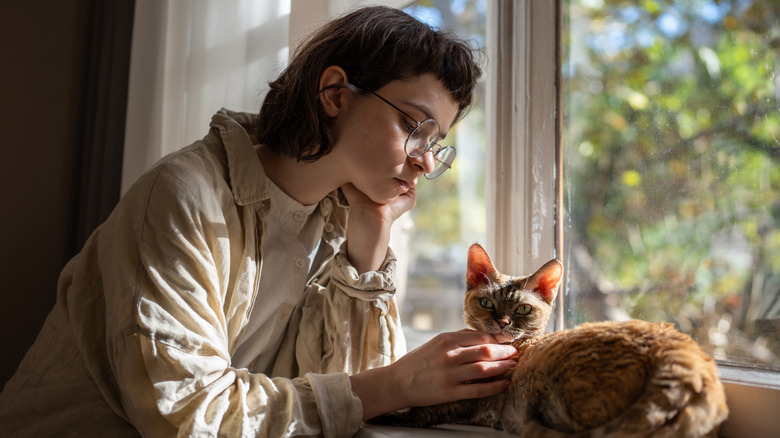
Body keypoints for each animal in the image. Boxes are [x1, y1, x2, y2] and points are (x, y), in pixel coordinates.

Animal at [374, 243, 728, 438]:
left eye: (522, 309)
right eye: (486, 302)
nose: (501, 322)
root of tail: (686, 352)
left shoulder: (468, 397)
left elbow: (424, 411)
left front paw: (387, 414)